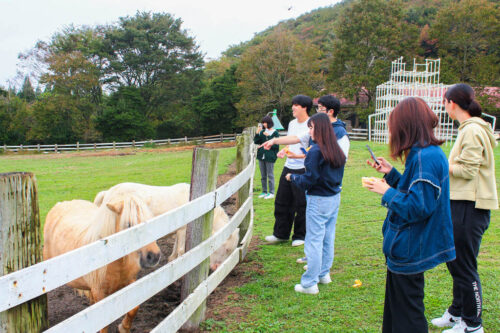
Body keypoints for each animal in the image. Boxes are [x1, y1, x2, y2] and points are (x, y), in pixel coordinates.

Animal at [43, 192, 160, 332]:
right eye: (129, 225)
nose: (154, 256)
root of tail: (60, 204)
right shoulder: (99, 293)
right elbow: (103, 324)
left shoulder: (130, 281)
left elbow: (134, 308)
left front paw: (124, 327)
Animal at [95, 182, 240, 270]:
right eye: (227, 249)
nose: (216, 268)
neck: (199, 205)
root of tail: (107, 192)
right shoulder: (183, 230)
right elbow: (181, 250)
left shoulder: (178, 230)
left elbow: (175, 248)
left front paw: (172, 260)